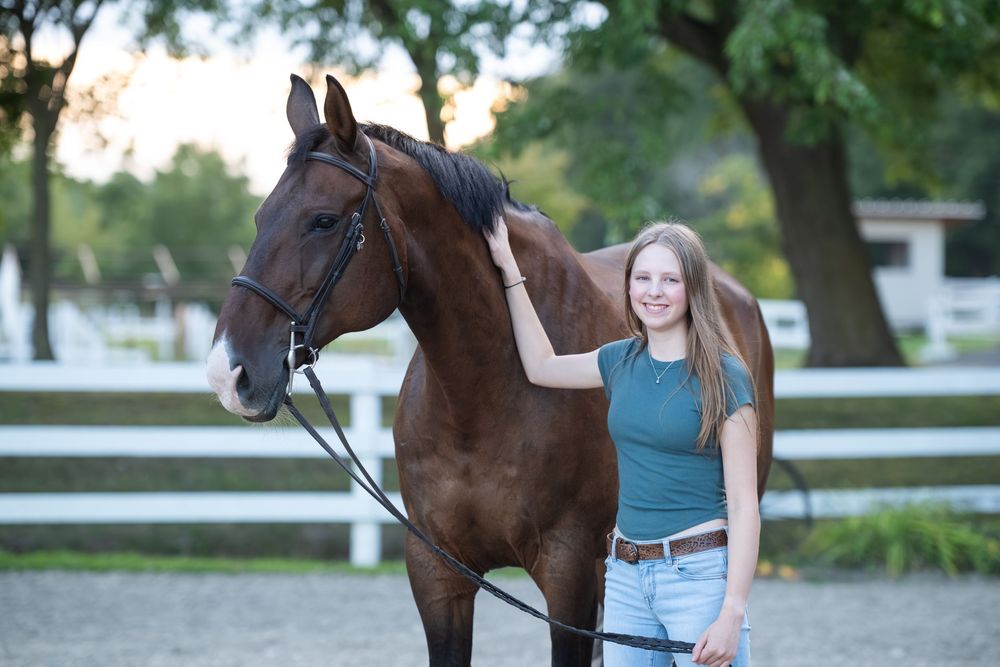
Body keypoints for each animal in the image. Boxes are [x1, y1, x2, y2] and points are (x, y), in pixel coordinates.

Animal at [207, 73, 774, 666]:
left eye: (323, 220)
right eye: (260, 218)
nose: (228, 371)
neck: (481, 394)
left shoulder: (570, 573)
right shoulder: (438, 572)